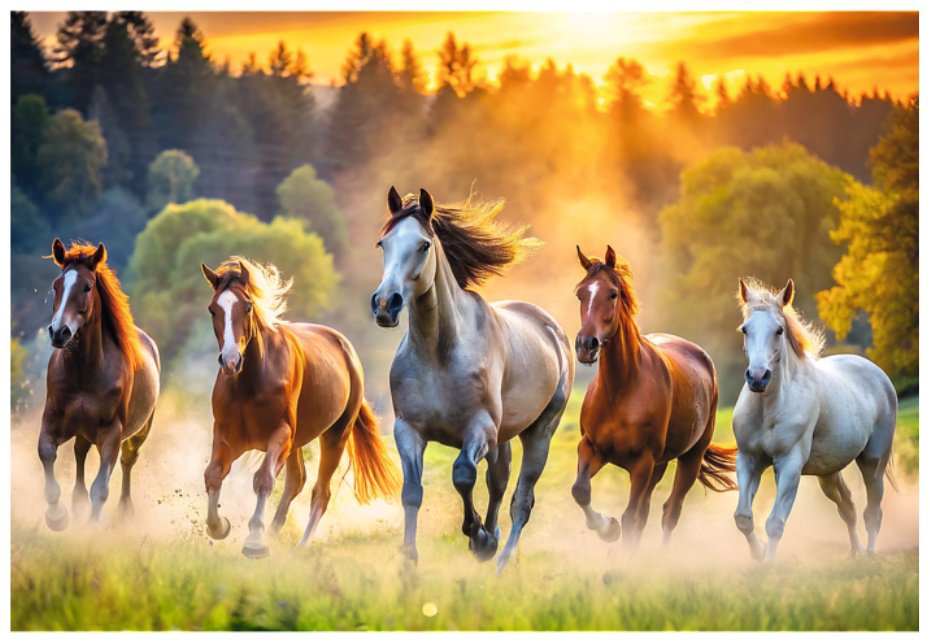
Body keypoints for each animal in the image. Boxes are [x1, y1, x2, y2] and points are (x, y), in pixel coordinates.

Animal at [39, 239, 160, 531]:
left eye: (86, 286)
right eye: (56, 285)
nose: (59, 332)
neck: (86, 371)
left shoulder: (111, 433)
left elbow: (101, 487)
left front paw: (91, 529)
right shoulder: (52, 419)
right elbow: (46, 454)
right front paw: (57, 516)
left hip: (139, 432)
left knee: (127, 462)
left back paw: (125, 511)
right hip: (83, 430)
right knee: (80, 453)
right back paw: (76, 503)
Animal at [200, 256, 399, 558]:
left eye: (247, 307)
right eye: (213, 309)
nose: (231, 361)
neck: (250, 382)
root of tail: (347, 350)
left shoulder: (280, 435)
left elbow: (263, 479)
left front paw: (254, 542)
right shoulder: (226, 436)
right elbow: (213, 475)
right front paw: (220, 526)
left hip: (334, 437)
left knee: (320, 492)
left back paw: (301, 545)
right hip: (295, 444)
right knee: (297, 481)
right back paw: (274, 532)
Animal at [371, 187, 574, 572]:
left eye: (423, 245)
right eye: (383, 243)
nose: (386, 304)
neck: (439, 354)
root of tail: (551, 328)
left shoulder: (479, 429)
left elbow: (463, 473)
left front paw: (477, 535)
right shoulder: (408, 430)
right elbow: (412, 493)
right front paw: (409, 564)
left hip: (539, 432)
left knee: (521, 500)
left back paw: (499, 559)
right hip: (504, 437)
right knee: (499, 482)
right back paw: (492, 540)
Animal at [571, 245, 737, 549]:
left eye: (612, 294)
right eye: (581, 293)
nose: (586, 345)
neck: (620, 390)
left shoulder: (642, 463)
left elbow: (629, 517)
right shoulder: (592, 448)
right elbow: (581, 491)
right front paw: (606, 528)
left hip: (689, 459)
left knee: (670, 511)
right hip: (660, 465)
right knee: (647, 512)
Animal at [732, 278, 897, 562]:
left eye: (779, 330)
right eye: (745, 329)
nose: (758, 377)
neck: (768, 408)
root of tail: (877, 373)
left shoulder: (789, 464)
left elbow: (775, 523)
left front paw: (766, 566)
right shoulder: (749, 460)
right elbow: (743, 517)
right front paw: (759, 553)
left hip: (873, 462)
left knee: (872, 511)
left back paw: (869, 554)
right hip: (829, 473)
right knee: (848, 508)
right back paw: (855, 553)